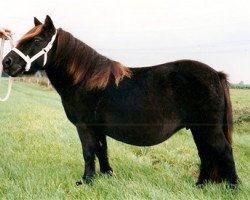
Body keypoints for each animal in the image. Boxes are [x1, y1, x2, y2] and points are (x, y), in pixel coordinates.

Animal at [2, 15, 239, 188]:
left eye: (37, 41)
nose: (7, 62)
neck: (86, 79)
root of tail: (215, 74)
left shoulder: (85, 127)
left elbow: (88, 152)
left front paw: (86, 181)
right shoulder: (98, 128)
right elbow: (101, 151)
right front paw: (106, 176)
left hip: (208, 128)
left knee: (224, 150)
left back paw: (232, 186)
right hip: (199, 129)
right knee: (206, 154)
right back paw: (200, 185)